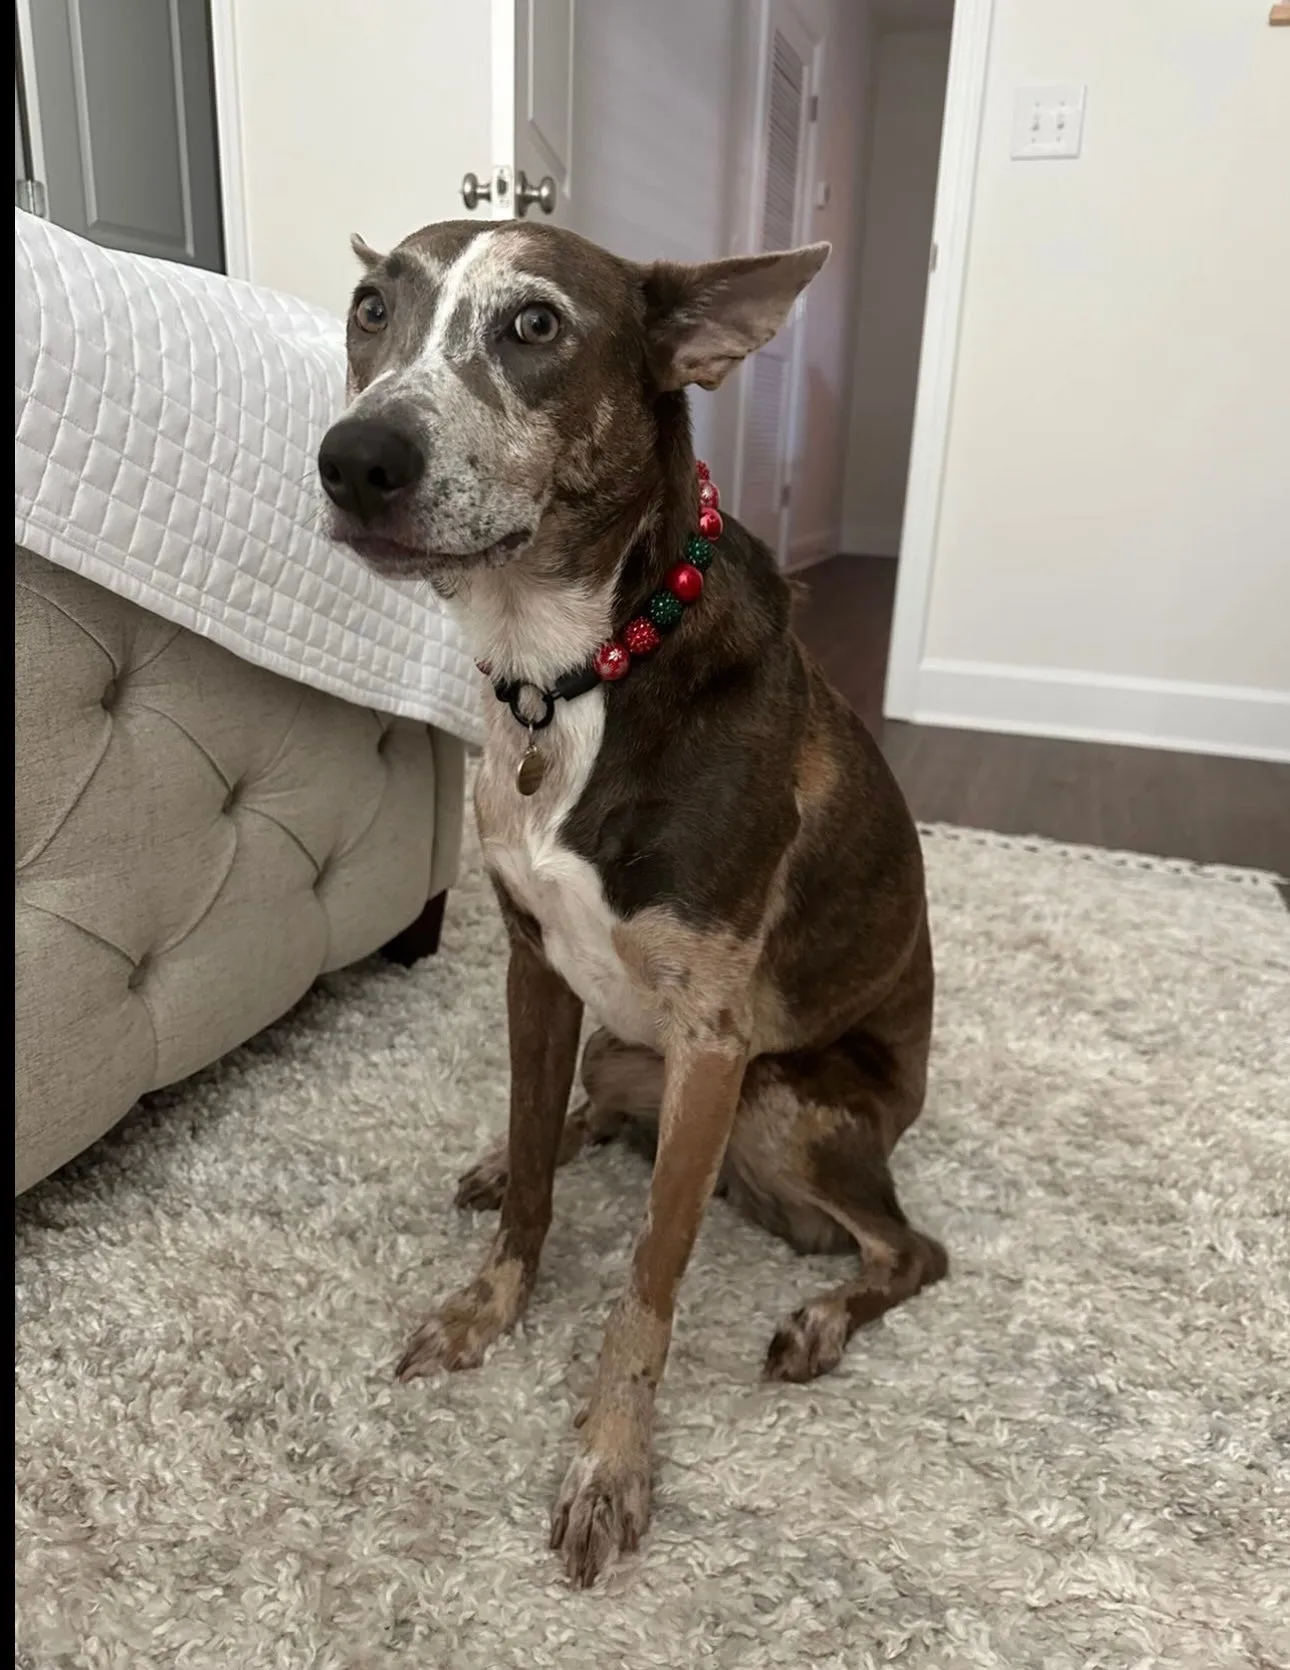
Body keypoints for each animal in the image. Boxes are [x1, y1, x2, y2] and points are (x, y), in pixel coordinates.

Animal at [319, 215, 949, 1583]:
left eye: (535, 325)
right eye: (370, 307)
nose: (351, 460)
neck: (572, 669)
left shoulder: (715, 1040)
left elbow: (648, 1284)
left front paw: (610, 1463)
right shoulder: (532, 966)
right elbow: (536, 1194)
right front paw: (486, 1301)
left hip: (779, 1101)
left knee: (911, 1246)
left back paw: (820, 1317)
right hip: (624, 1048)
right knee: (596, 1115)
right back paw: (526, 1148)